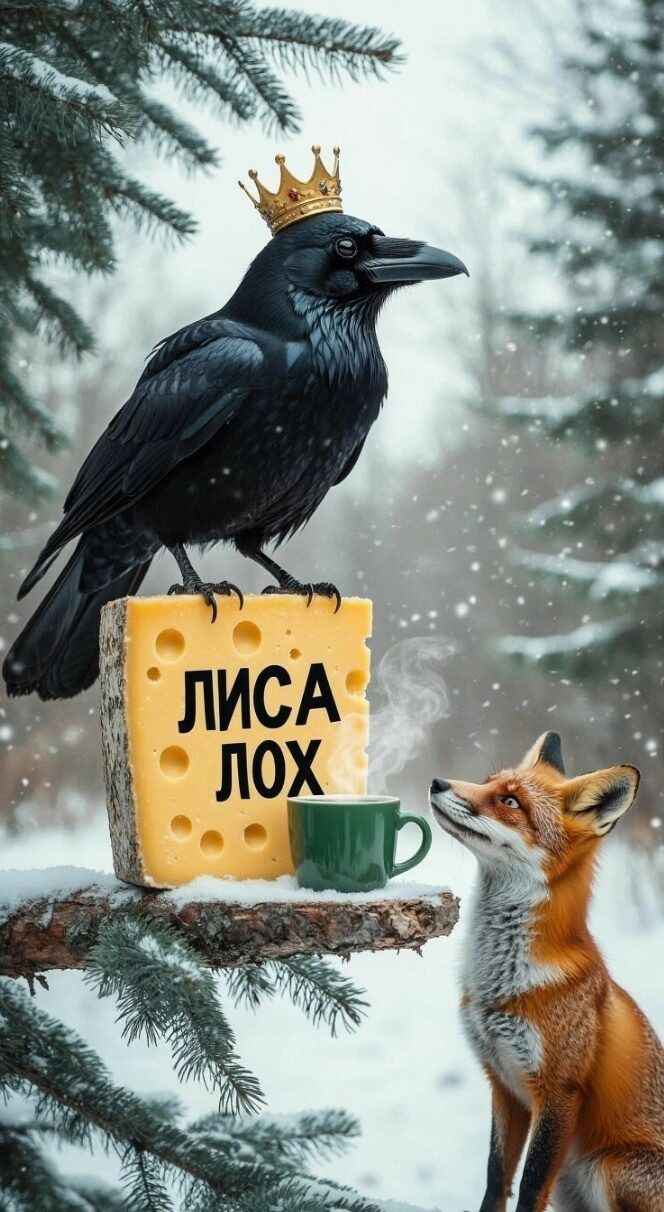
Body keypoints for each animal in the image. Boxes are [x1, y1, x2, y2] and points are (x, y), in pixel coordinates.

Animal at [429, 731, 664, 1212]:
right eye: (487, 782)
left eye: (510, 802)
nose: (437, 782)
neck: (499, 981)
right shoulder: (503, 1083)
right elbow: (497, 1178)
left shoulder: (558, 1092)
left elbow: (531, 1185)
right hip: (574, 1185)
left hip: (606, 1168)